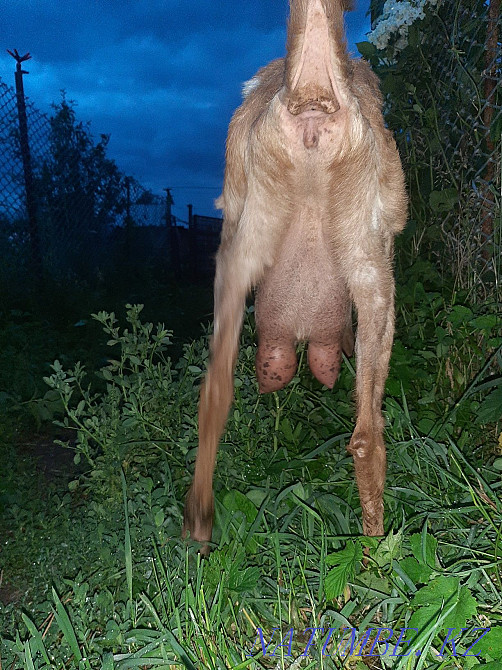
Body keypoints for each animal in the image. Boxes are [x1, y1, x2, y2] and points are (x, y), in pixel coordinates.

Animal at [183, 0, 407, 549]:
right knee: (369, 434)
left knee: (214, 395)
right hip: (374, 271)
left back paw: (199, 521)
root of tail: (308, 96)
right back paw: (376, 550)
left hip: (242, 253)